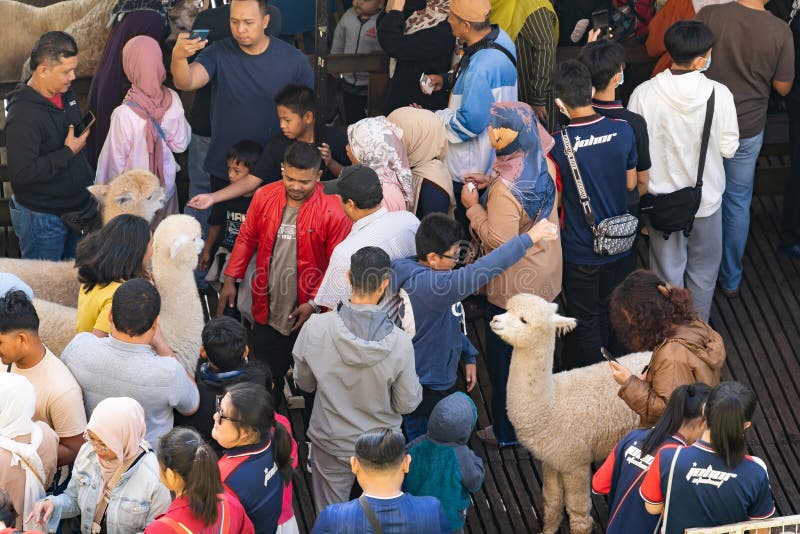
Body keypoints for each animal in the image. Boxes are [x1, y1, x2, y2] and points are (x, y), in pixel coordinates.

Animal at [490, 296, 652, 534]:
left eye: (524, 320)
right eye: (507, 309)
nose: (495, 320)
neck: (550, 405)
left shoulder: (575, 463)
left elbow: (578, 513)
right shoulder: (551, 461)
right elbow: (551, 502)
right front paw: (547, 531)